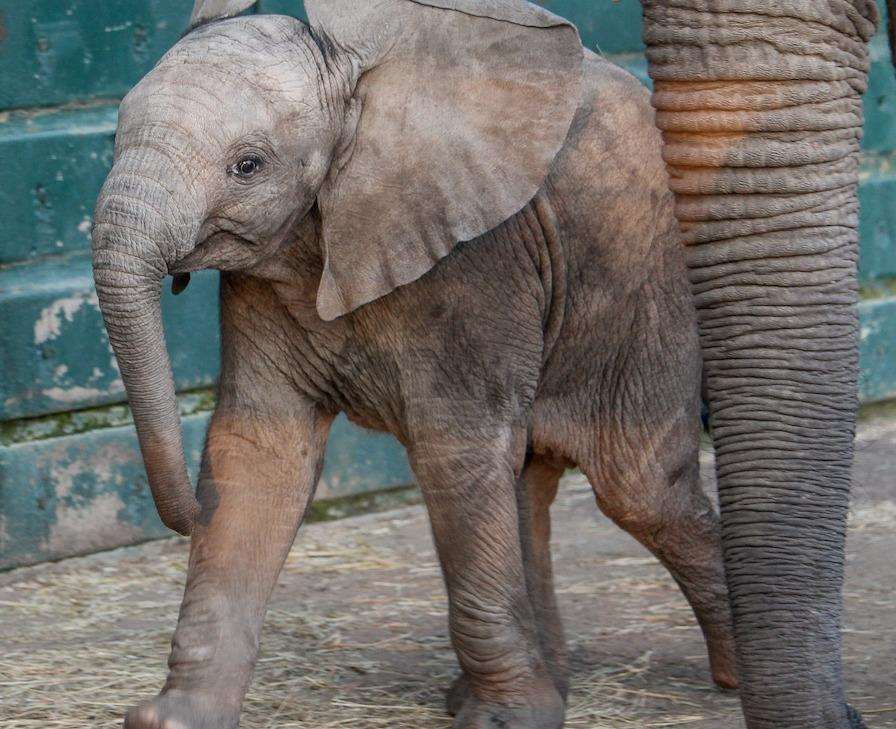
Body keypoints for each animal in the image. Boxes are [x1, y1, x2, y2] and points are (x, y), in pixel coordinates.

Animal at [91, 1, 736, 728]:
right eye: (111, 140)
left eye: (247, 166)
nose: (187, 514)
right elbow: (258, 451)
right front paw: (173, 717)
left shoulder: (479, 258)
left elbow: (453, 450)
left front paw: (502, 723)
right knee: (529, 483)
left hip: (646, 277)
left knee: (641, 488)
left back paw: (736, 677)